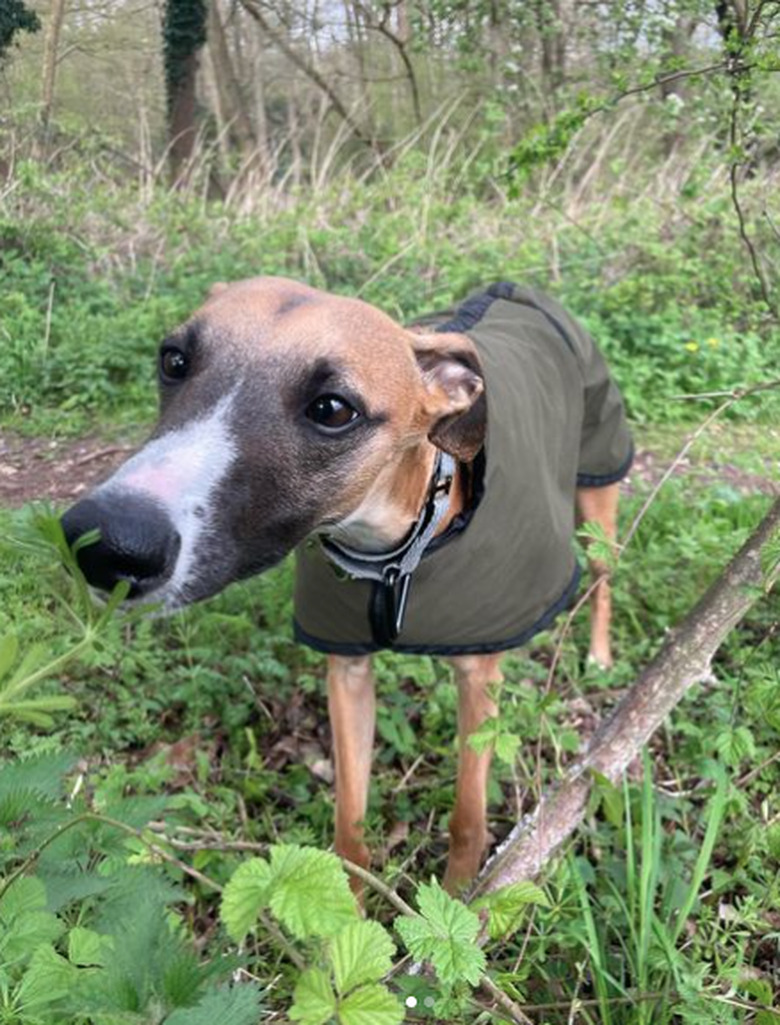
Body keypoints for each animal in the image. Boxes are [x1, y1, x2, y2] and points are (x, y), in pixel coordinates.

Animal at [62, 276, 631, 893]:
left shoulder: (478, 679)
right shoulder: (347, 672)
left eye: (333, 409)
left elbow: (467, 817)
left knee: (605, 579)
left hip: (598, 493)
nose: (103, 542)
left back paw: (600, 655)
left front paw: (460, 898)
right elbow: (350, 824)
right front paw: (352, 907)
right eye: (174, 360)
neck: (392, 549)